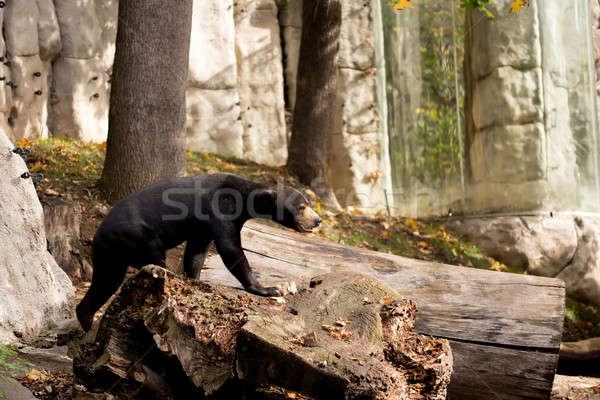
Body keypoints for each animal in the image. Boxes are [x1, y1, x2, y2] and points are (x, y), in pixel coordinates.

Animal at [77, 173, 322, 332]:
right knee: (152, 259)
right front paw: (270, 288)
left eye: (308, 204)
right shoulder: (221, 207)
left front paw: (195, 279)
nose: (318, 220)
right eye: (302, 207)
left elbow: (196, 251)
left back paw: (86, 320)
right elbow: (229, 247)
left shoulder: (202, 226)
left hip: (111, 254)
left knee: (106, 282)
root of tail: (98, 235)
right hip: (138, 237)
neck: (244, 200)